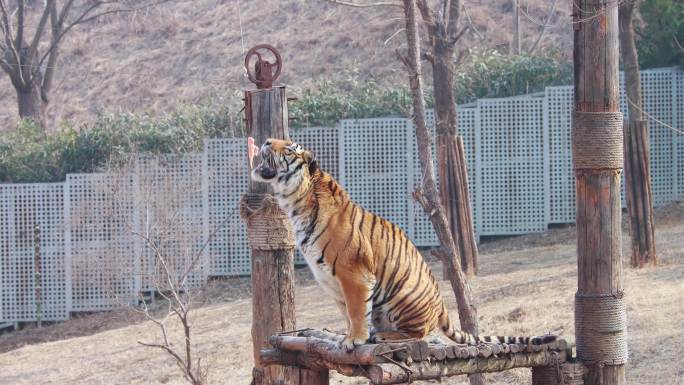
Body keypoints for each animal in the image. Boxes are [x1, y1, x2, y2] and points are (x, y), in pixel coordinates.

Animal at [251, 138, 556, 352]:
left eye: (288, 148)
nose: (265, 141)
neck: (295, 203)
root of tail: (441, 306)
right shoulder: (331, 282)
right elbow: (347, 314)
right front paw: (345, 336)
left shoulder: (354, 275)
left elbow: (357, 311)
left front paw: (354, 340)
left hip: (402, 297)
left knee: (420, 335)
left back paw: (383, 335)